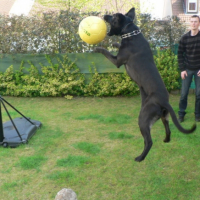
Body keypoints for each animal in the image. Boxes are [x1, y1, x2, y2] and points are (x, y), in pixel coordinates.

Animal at [94, 7, 196, 162]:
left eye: (113, 17)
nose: (104, 15)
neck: (130, 31)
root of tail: (164, 102)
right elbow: (117, 45)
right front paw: (115, 44)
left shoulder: (117, 61)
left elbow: (106, 52)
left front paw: (98, 48)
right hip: (163, 117)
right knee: (168, 130)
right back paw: (165, 140)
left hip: (143, 118)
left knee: (149, 141)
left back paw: (140, 157)